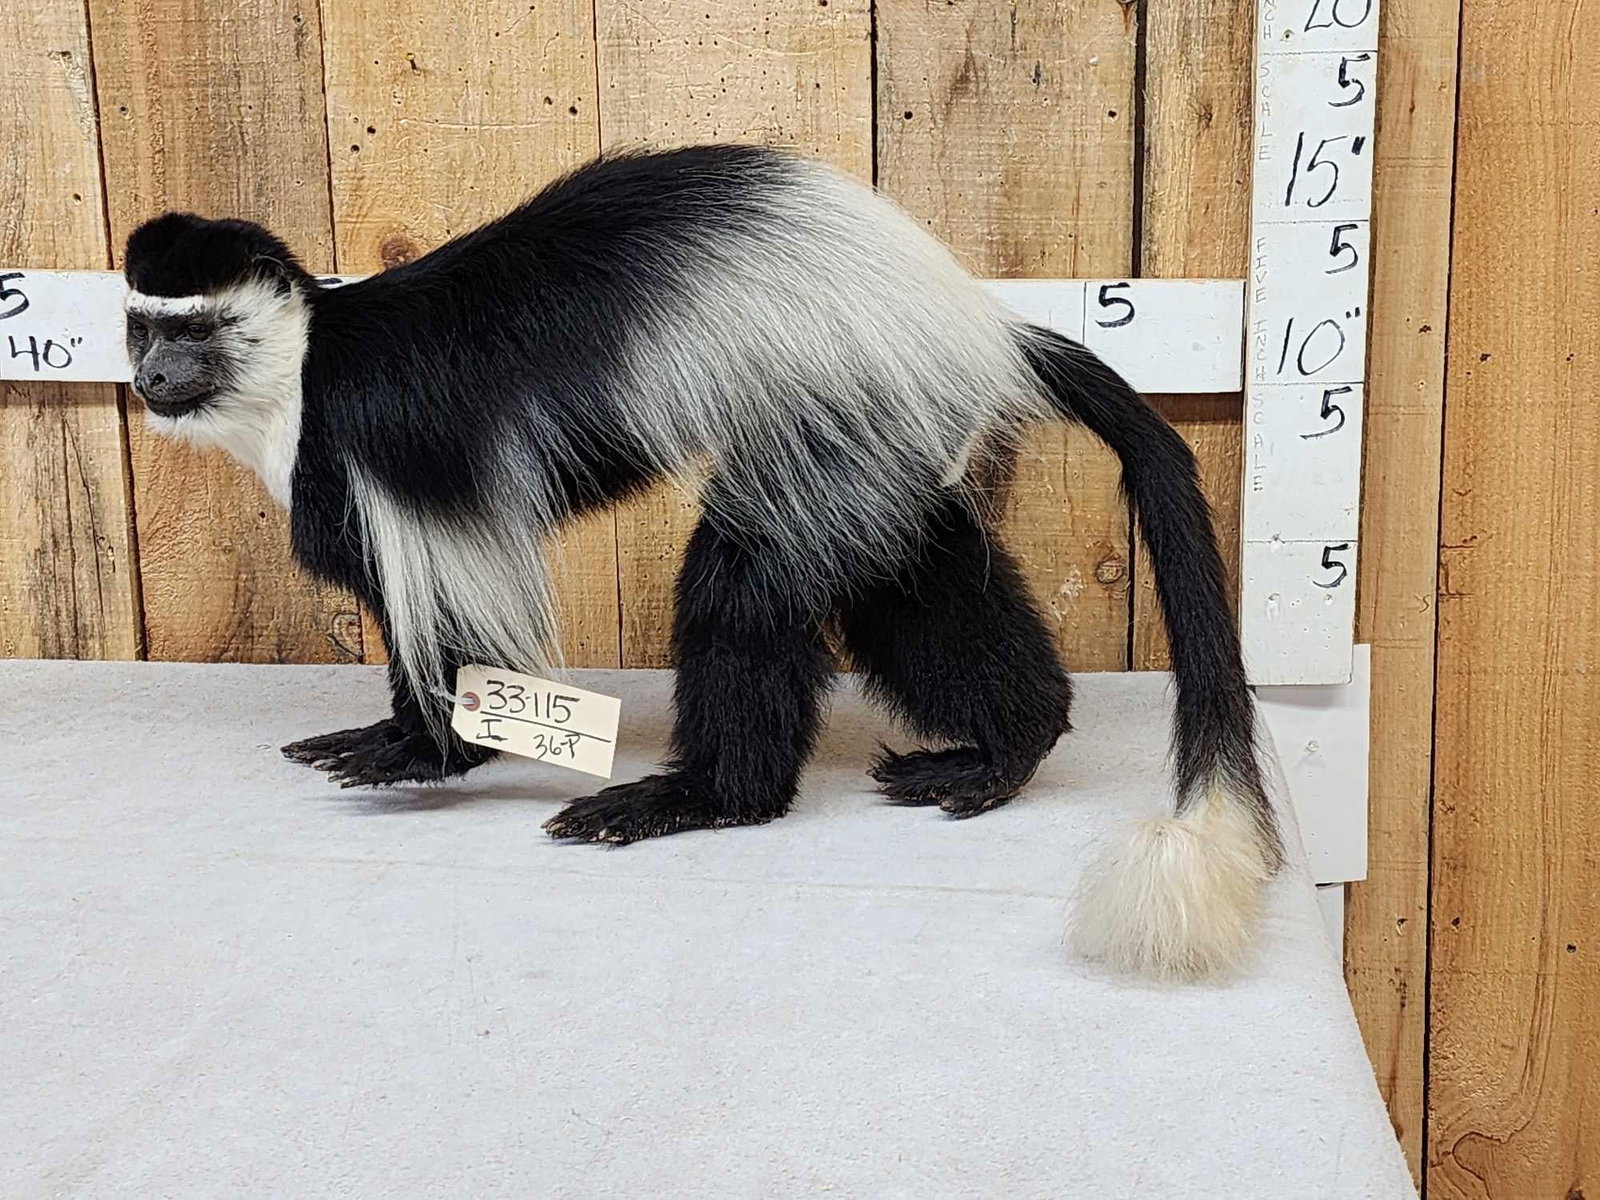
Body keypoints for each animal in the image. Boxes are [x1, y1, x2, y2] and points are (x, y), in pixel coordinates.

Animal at [121, 144, 1281, 979]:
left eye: (197, 330)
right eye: (140, 326)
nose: (152, 375)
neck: (302, 366)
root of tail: (983, 329)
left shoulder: (363, 446)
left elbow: (448, 622)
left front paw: (411, 749)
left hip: (835, 419)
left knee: (746, 582)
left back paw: (712, 794)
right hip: (890, 441)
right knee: (910, 573)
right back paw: (1006, 747)